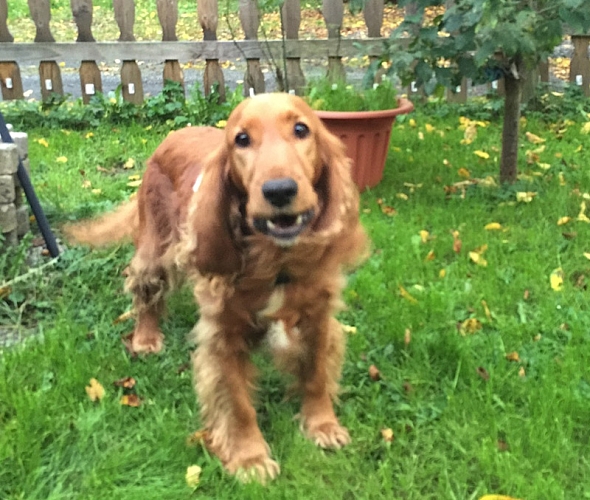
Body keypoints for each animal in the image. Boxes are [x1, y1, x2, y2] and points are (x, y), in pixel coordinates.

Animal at [66, 92, 369, 482]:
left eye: (302, 129)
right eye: (242, 139)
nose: (279, 191)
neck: (277, 263)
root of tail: (173, 134)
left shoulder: (318, 317)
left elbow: (316, 374)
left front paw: (322, 426)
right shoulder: (223, 336)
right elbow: (237, 404)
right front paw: (249, 458)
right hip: (155, 244)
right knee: (145, 289)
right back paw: (146, 338)